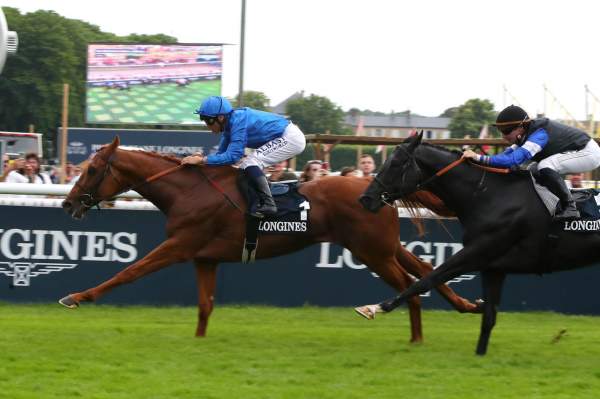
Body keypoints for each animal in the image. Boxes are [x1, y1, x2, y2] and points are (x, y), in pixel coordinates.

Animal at [57, 136, 478, 342]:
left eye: (92, 169)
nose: (67, 202)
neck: (189, 190)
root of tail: (379, 190)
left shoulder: (179, 246)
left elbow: (127, 272)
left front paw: (76, 297)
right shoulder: (205, 257)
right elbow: (205, 306)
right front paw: (198, 342)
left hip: (372, 251)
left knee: (409, 282)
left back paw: (416, 337)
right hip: (383, 246)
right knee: (423, 266)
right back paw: (465, 305)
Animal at [358, 134, 600, 356]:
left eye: (396, 164)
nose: (365, 199)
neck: (488, 196)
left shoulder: (475, 254)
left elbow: (427, 280)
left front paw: (375, 307)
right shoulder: (493, 267)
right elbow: (489, 316)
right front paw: (480, 354)